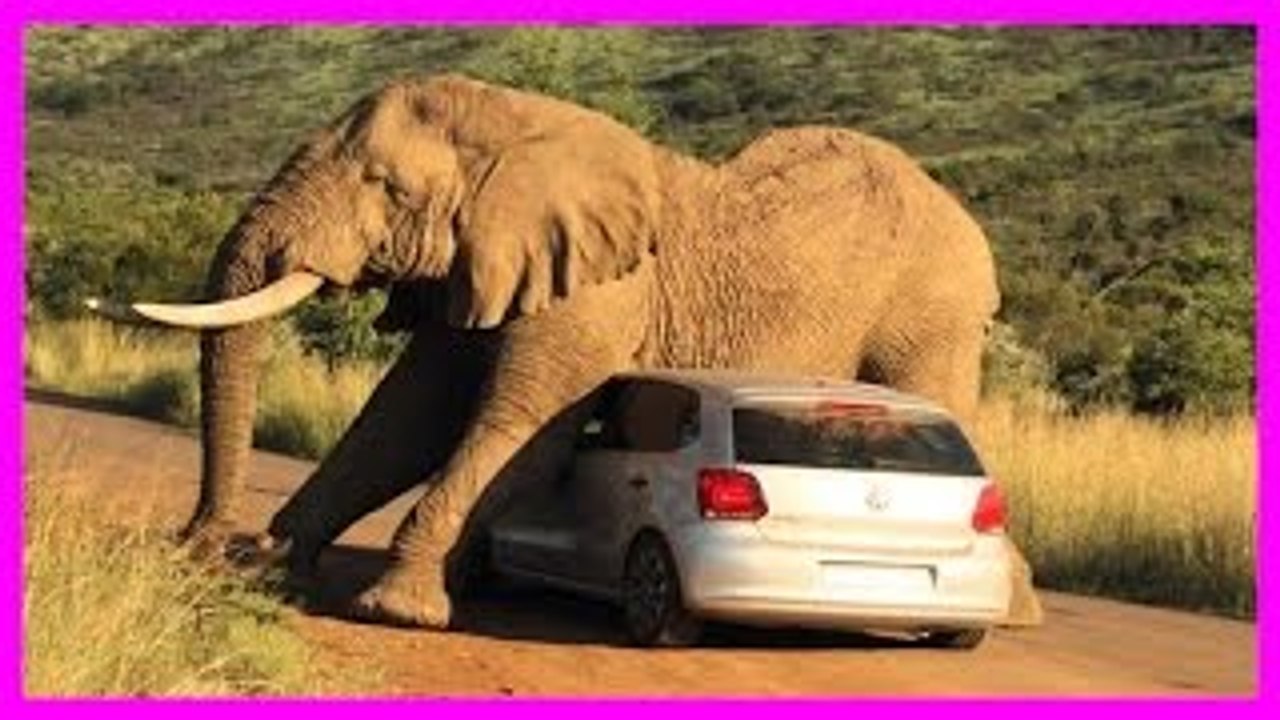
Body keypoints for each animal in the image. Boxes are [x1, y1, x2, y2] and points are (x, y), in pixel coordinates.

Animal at [96, 73, 1042, 630]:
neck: (522, 125)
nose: (202, 543)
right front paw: (274, 570)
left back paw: (1015, 610)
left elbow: (518, 426)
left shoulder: (593, 293)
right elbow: (405, 421)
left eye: (387, 188)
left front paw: (396, 609)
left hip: (931, 308)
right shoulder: (484, 265)